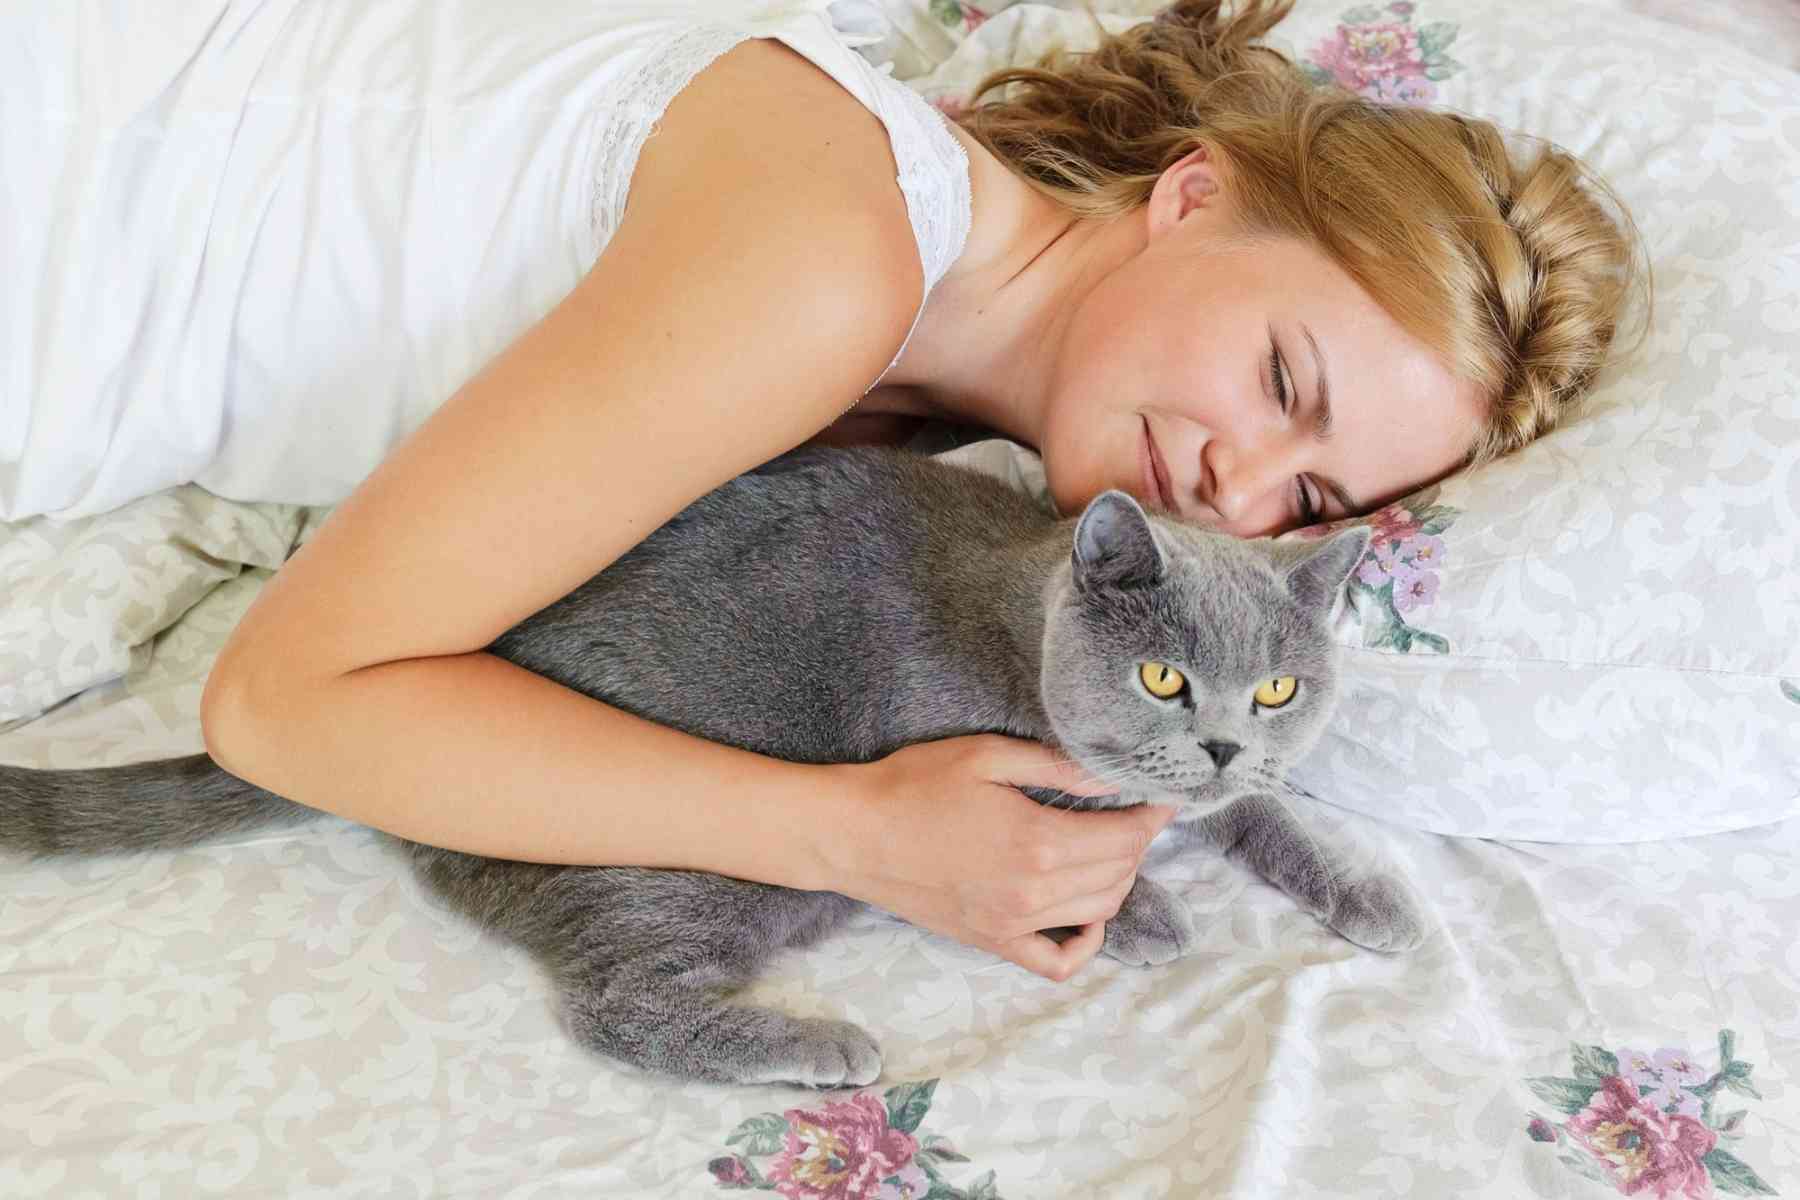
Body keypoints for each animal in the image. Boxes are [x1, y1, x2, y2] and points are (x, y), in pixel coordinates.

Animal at [7, 447, 1425, 1086]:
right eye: (1163, 678)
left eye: (1280, 687)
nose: (1224, 736)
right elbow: (1092, 851)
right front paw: (1144, 913)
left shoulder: (1227, 798)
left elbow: (1267, 823)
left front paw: (1373, 898)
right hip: (679, 866)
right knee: (611, 1006)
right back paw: (823, 1042)